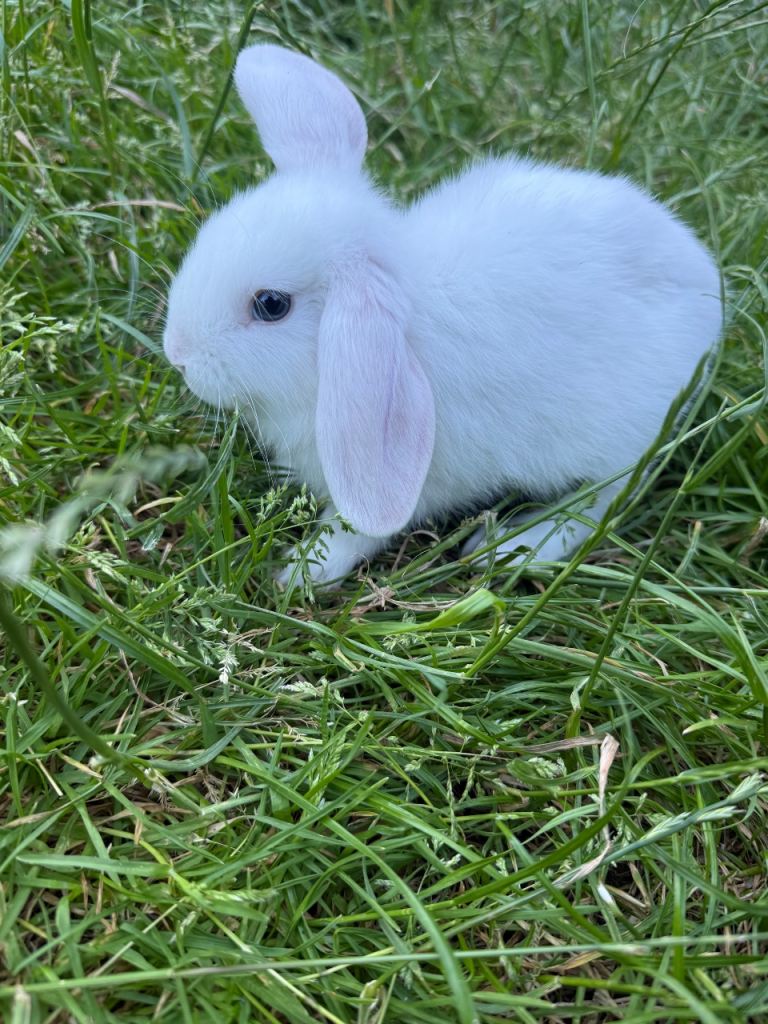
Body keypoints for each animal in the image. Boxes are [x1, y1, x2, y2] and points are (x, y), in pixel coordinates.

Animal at [163, 44, 722, 587]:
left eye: (271, 305)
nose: (178, 355)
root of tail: (708, 284)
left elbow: (360, 531)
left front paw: (302, 572)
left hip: (618, 441)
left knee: (605, 497)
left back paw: (518, 546)